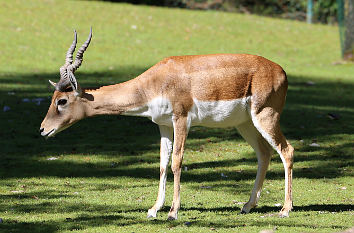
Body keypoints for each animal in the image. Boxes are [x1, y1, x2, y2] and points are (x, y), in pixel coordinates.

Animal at [40, 28, 294, 219]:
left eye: (62, 100)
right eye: (53, 98)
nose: (43, 129)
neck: (154, 82)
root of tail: (281, 71)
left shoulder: (181, 119)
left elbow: (176, 162)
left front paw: (173, 211)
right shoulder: (162, 125)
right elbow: (162, 164)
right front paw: (154, 209)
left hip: (265, 116)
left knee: (287, 151)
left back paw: (285, 209)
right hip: (245, 124)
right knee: (264, 153)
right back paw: (247, 206)